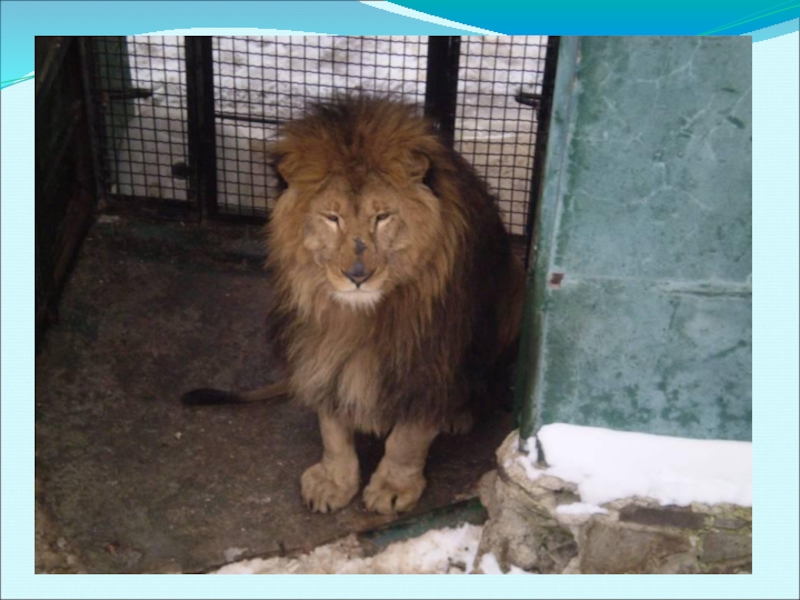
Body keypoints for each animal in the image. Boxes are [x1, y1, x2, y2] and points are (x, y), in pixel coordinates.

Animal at [184, 96, 525, 515]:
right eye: (332, 217)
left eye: (383, 217)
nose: (357, 275)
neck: (358, 317)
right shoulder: (320, 347)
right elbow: (332, 430)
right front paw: (333, 482)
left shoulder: (427, 358)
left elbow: (408, 437)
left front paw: (393, 487)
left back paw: (457, 415)